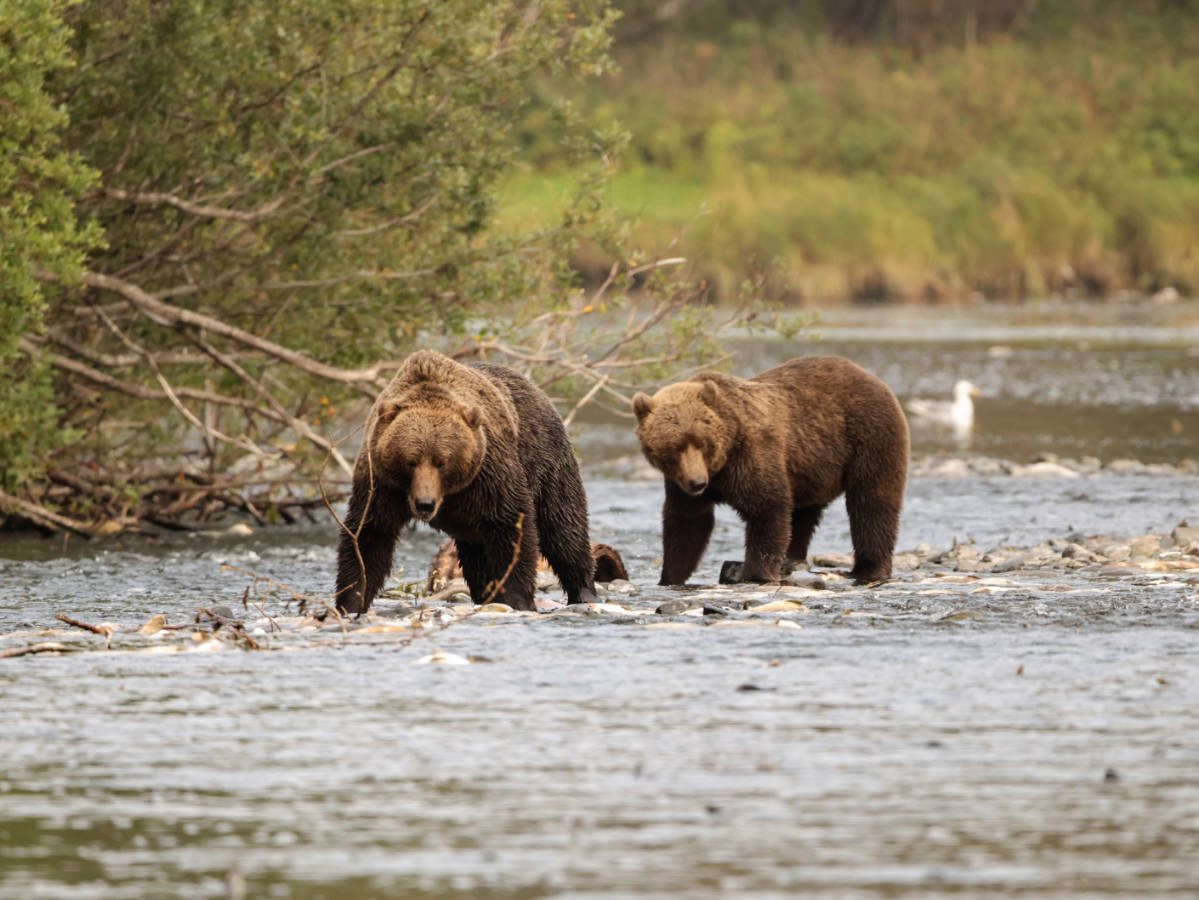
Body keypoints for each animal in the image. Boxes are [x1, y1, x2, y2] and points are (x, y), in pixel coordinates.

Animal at [335, 350, 599, 614]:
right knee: (477, 557)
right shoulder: (381, 483)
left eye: (442, 461)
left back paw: (584, 591)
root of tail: (537, 390)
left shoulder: (490, 475)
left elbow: (512, 526)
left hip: (544, 459)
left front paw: (519, 600)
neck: (451, 492)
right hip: (470, 522)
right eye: (411, 461)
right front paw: (350, 602)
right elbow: (369, 535)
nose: (424, 504)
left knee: (563, 527)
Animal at [632, 356, 908, 586]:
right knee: (803, 515)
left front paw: (757, 573)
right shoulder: (681, 485)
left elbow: (767, 508)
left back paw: (869, 569)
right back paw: (794, 559)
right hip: (810, 470)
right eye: (674, 448)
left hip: (869, 435)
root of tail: (871, 376)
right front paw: (669, 577)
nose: (697, 483)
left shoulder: (751, 455)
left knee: (871, 502)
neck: (722, 460)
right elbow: (686, 524)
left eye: (701, 442)